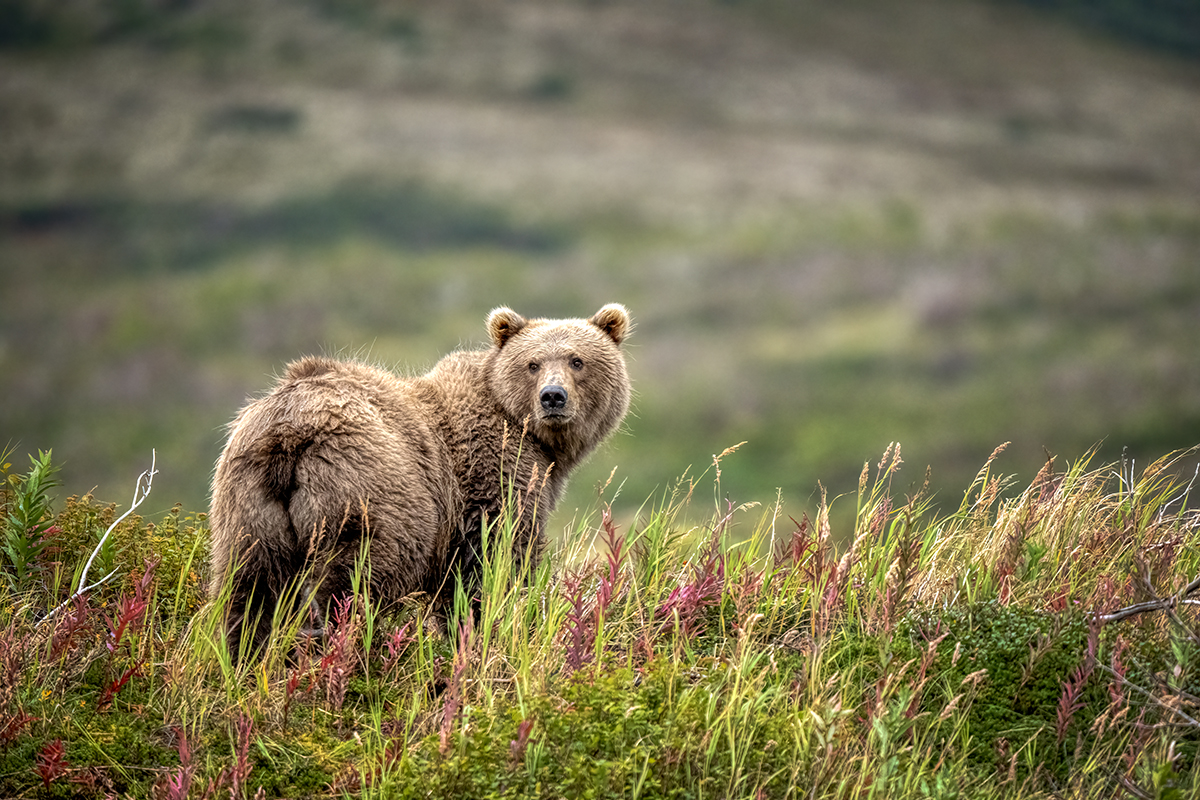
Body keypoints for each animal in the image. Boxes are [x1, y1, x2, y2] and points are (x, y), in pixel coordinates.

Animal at [208, 304, 632, 653]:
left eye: (577, 360)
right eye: (532, 363)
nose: (553, 397)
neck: (536, 440)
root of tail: (291, 430)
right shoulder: (489, 476)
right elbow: (492, 563)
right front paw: (494, 627)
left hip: (247, 503)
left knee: (247, 591)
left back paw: (245, 658)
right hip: (365, 487)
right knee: (349, 579)